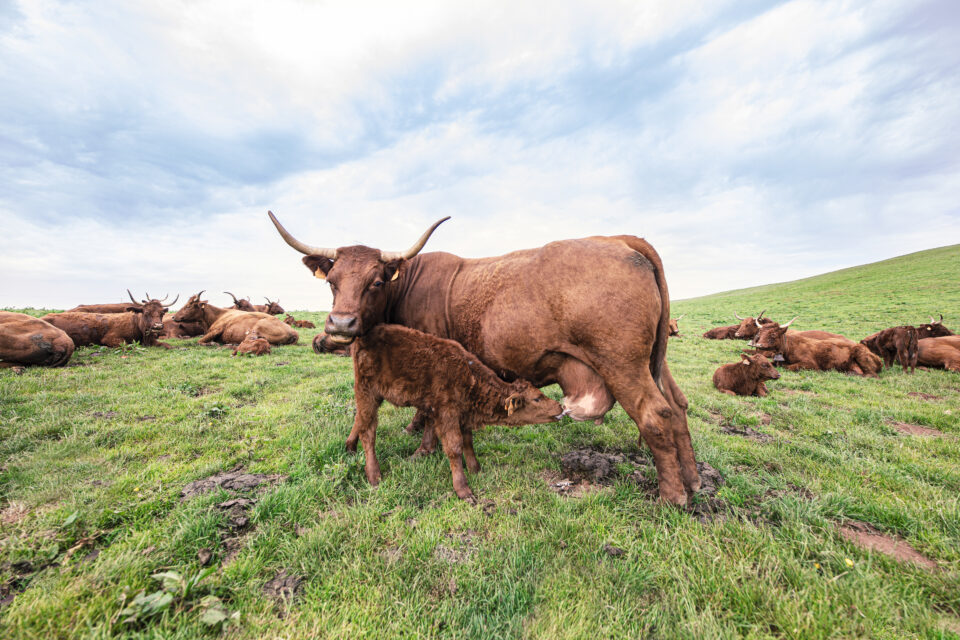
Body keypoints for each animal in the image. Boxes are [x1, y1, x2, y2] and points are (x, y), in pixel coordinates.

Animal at [42, 295, 176, 348]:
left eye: (162, 313)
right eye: (146, 312)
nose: (158, 326)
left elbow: (168, 345)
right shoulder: (110, 339)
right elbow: (127, 345)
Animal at [344, 323, 563, 502]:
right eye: (537, 398)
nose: (560, 407)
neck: (469, 377)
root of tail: (366, 335)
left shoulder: (463, 415)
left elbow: (468, 442)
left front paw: (476, 469)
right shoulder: (446, 413)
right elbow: (454, 447)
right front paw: (463, 489)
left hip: (370, 394)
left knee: (359, 419)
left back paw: (350, 447)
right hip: (367, 391)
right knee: (368, 430)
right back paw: (374, 475)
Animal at [748, 317, 882, 377]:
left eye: (773, 334)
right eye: (760, 332)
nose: (758, 344)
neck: (789, 348)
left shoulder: (810, 364)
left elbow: (789, 367)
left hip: (861, 355)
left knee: (870, 374)